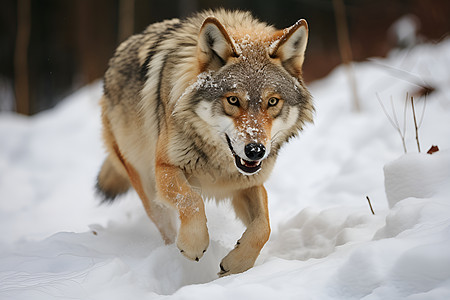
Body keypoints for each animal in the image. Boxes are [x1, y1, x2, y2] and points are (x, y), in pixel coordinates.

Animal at [95, 9, 312, 276]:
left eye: (272, 102)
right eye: (233, 100)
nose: (255, 151)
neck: (218, 164)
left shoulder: (249, 183)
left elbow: (264, 227)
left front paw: (237, 264)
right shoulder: (165, 168)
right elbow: (192, 201)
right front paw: (194, 245)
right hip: (146, 182)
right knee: (165, 224)